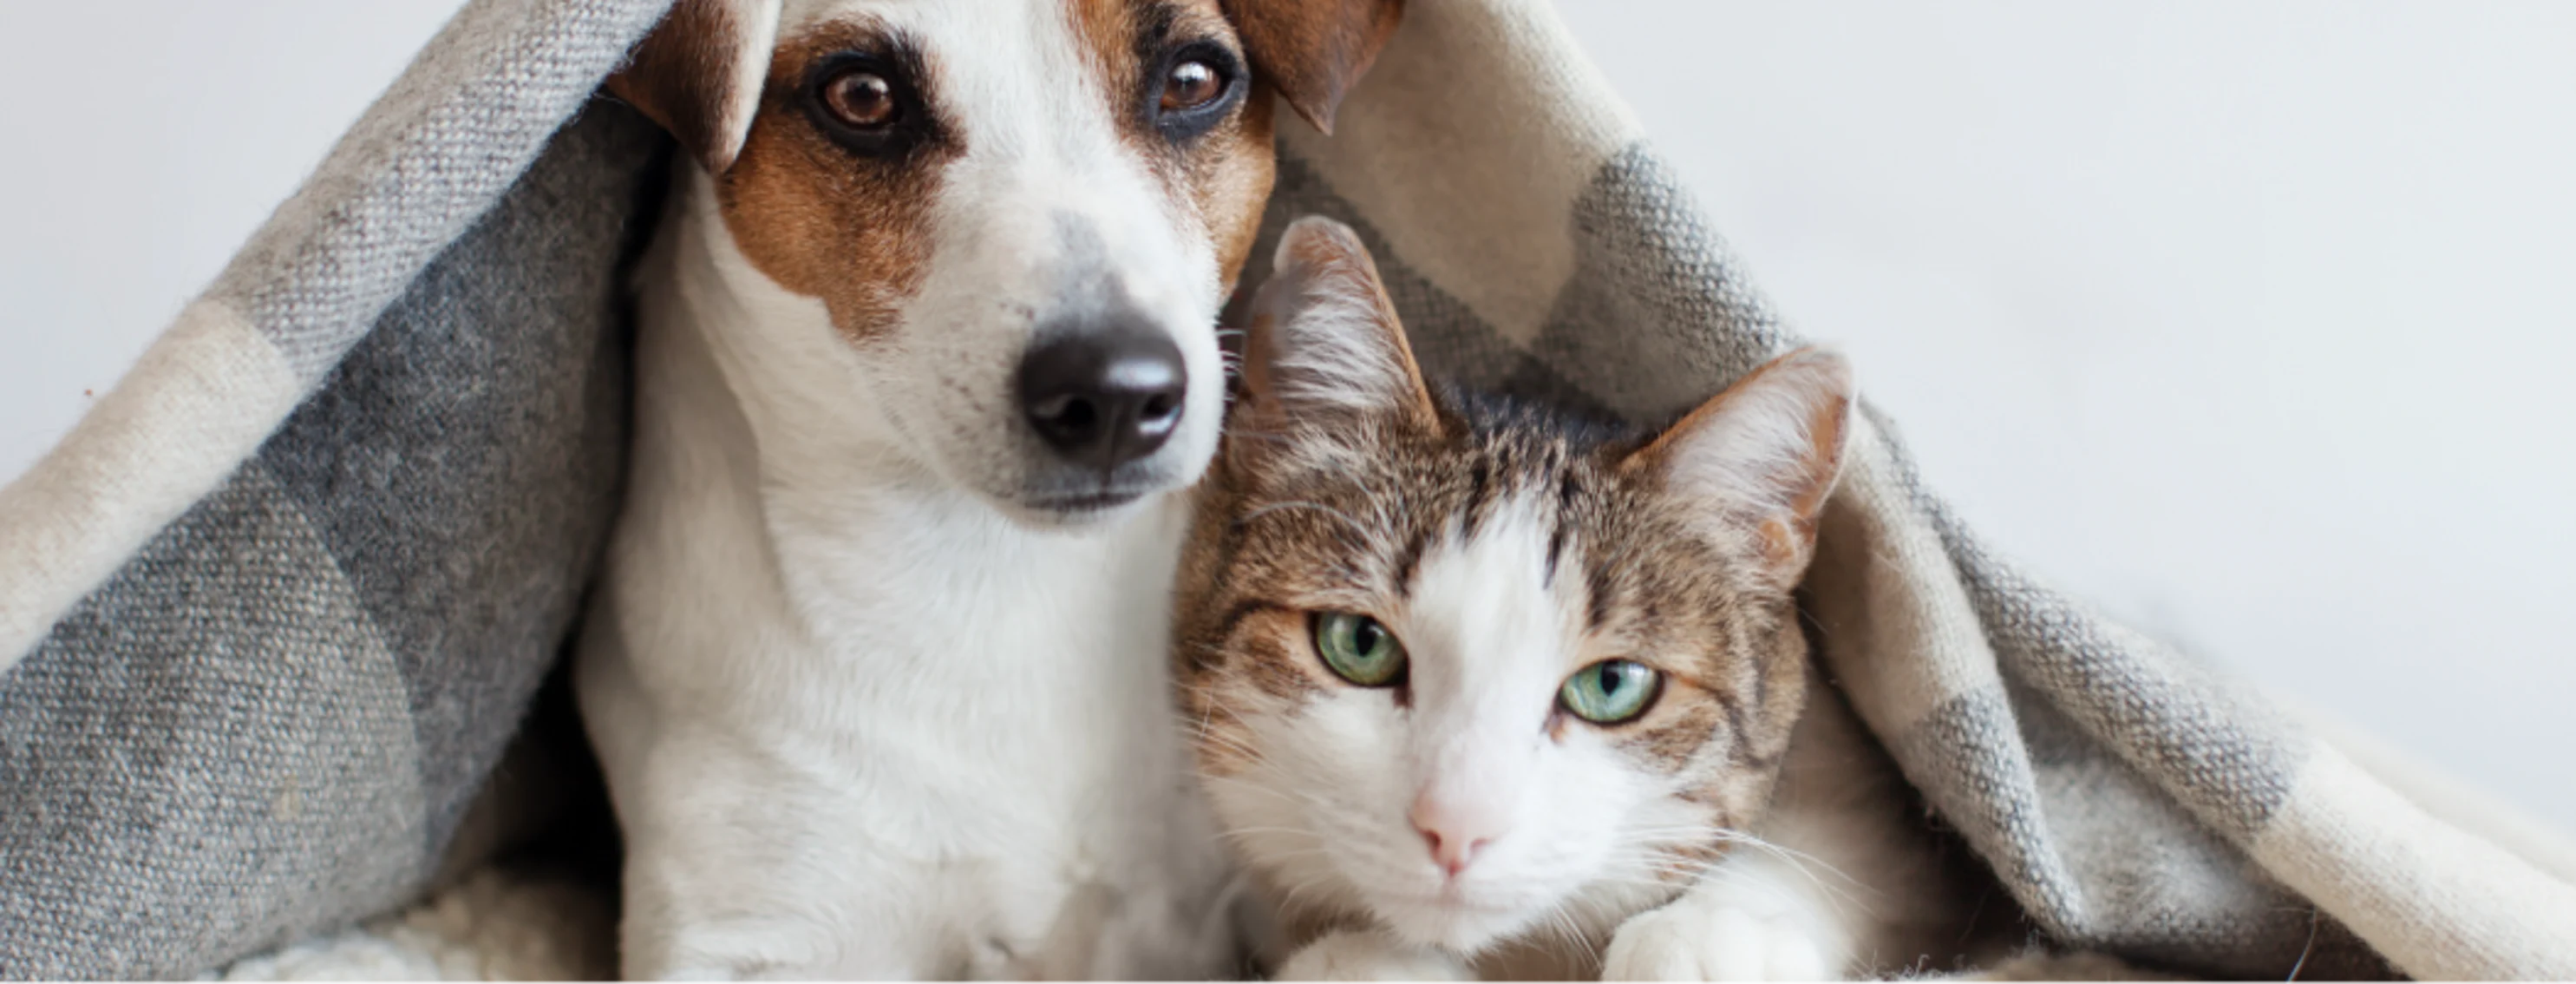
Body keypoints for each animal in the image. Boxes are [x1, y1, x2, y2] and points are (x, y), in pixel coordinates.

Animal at [1169, 217, 1988, 984]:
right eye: (1359, 644)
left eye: (1613, 685)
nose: (1456, 828)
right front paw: (1362, 960)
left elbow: (1855, 851)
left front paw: (1711, 934)